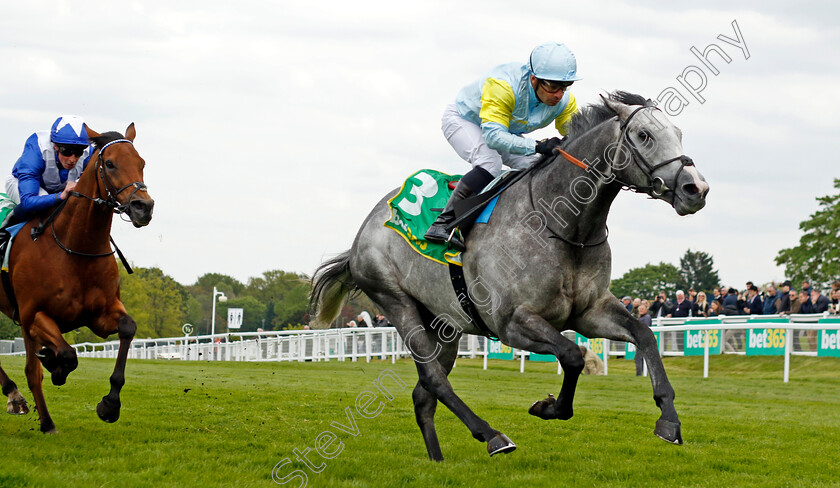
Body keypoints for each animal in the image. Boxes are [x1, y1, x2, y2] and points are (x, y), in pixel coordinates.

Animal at [0, 124, 153, 432]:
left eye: (142, 163)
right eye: (110, 163)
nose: (144, 206)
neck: (76, 249)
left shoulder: (99, 315)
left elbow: (128, 328)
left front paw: (110, 405)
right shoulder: (33, 315)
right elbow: (66, 356)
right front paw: (55, 368)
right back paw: (21, 398)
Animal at [308, 91, 708, 462]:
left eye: (678, 133)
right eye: (643, 135)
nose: (696, 188)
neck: (562, 224)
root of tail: (363, 233)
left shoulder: (590, 311)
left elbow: (644, 335)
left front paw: (669, 420)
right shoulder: (511, 322)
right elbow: (572, 355)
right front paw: (548, 407)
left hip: (443, 324)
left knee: (424, 392)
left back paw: (438, 460)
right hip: (397, 303)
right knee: (435, 379)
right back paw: (493, 436)